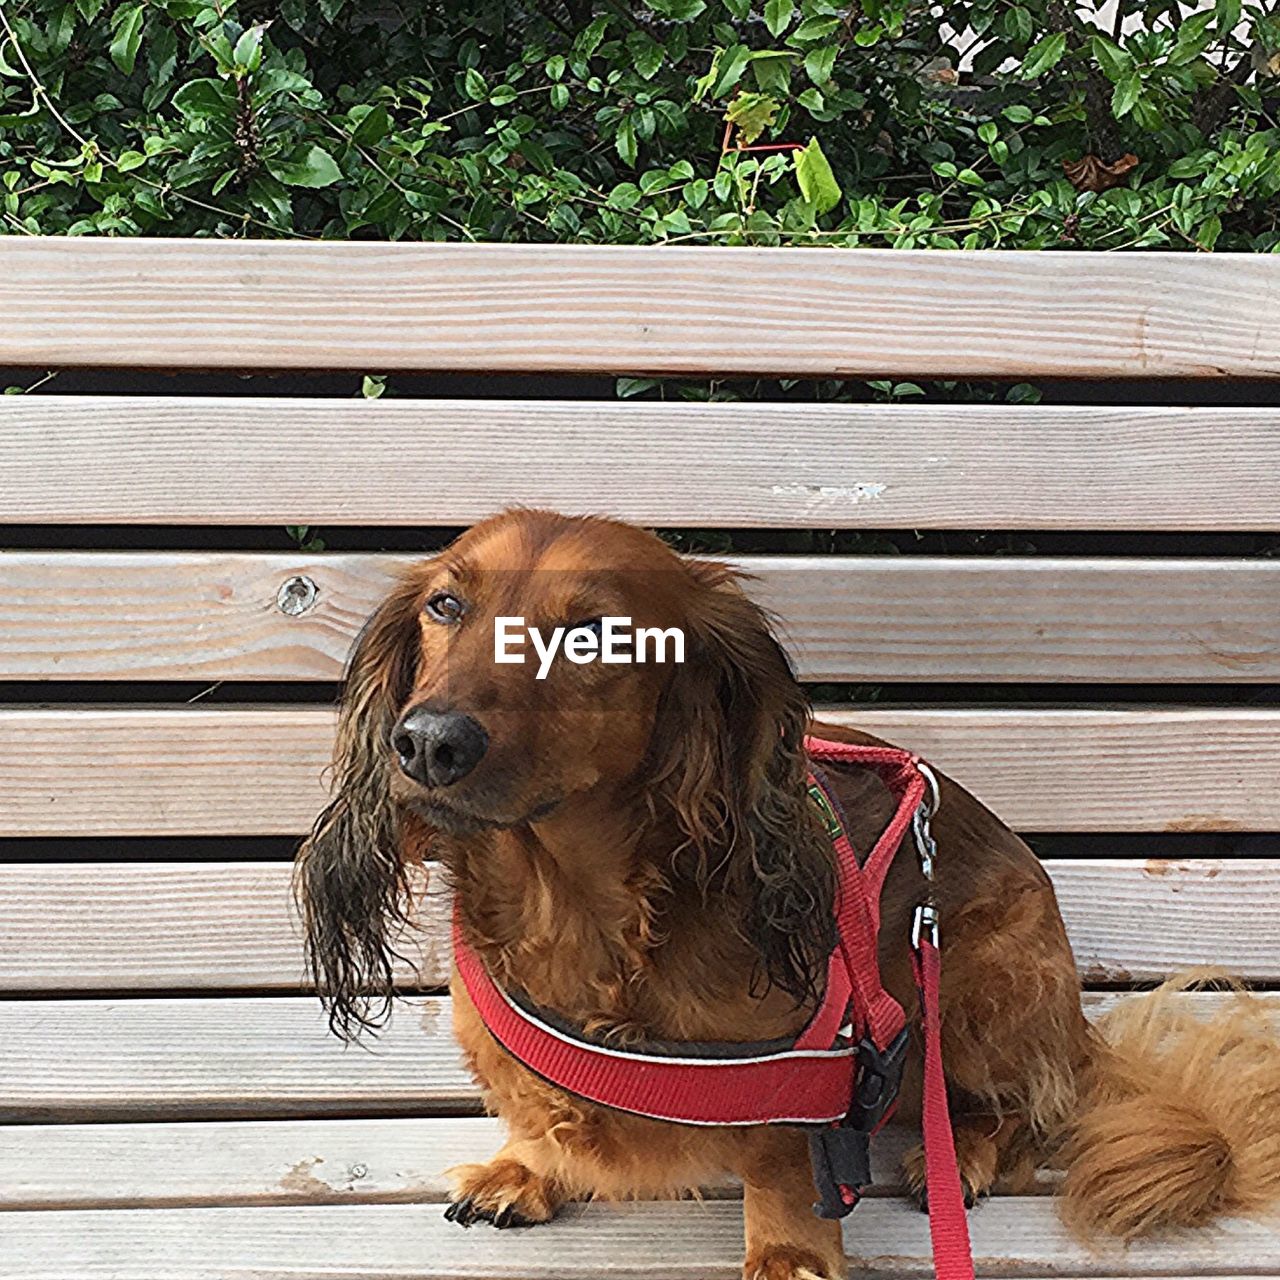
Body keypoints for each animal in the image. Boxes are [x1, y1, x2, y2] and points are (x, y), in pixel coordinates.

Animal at [296, 509, 1280, 1280]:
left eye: (592, 637)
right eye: (445, 605)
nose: (428, 744)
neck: (578, 911)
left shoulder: (805, 1064)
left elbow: (779, 1166)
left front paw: (787, 1256)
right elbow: (541, 1110)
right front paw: (530, 1169)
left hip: (976, 976)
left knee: (1028, 1106)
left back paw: (964, 1151)